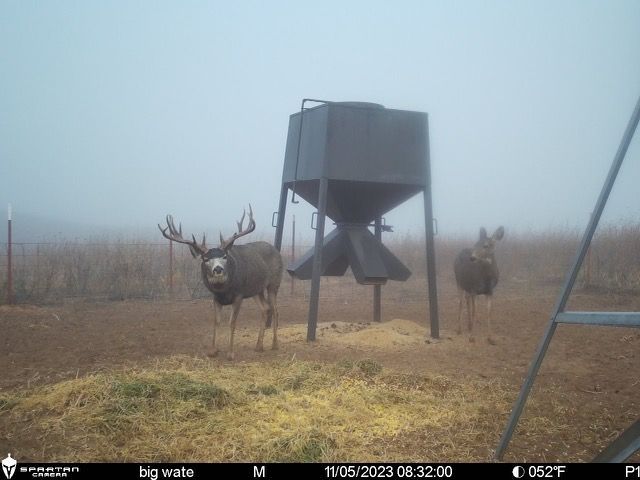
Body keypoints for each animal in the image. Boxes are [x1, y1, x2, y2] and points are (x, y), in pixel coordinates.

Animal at [159, 205, 283, 360]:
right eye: (206, 259)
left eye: (224, 256)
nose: (218, 269)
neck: (224, 290)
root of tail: (277, 251)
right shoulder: (215, 298)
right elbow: (216, 321)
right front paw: (213, 350)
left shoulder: (239, 295)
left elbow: (232, 322)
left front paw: (230, 353)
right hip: (256, 289)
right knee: (265, 308)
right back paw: (259, 346)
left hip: (274, 283)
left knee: (275, 309)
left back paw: (275, 344)